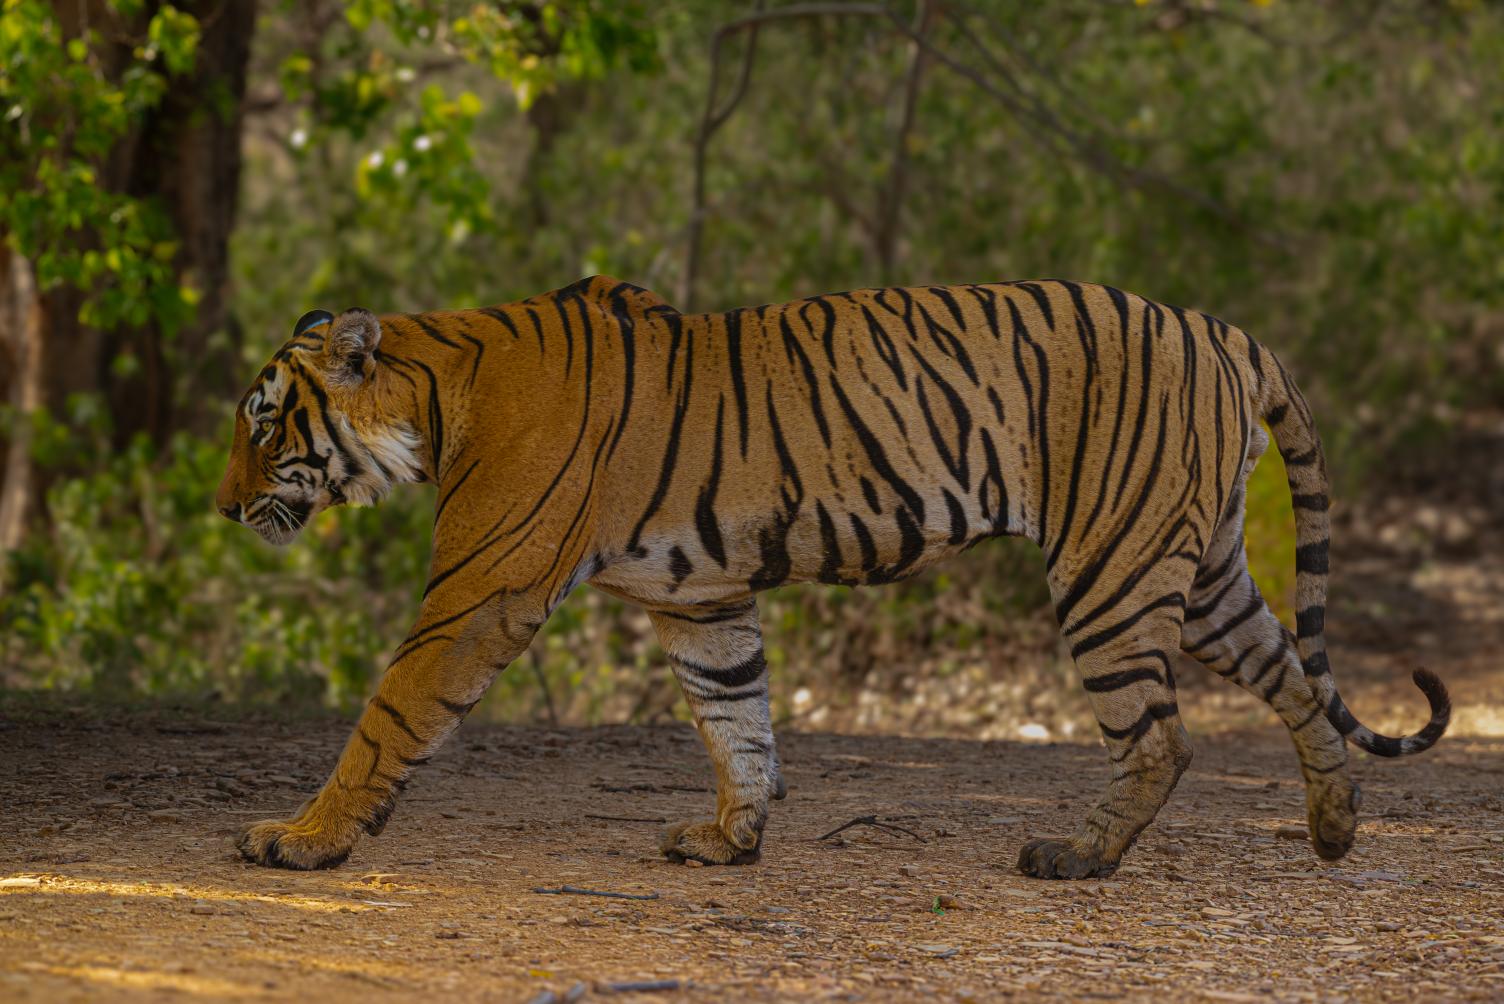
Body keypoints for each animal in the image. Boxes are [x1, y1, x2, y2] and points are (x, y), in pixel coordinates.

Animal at [216, 275, 1449, 878]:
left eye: (265, 425)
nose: (224, 508)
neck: (437, 391)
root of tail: (1220, 328)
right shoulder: (698, 597)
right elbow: (737, 719)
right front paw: (733, 839)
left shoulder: (478, 591)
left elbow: (388, 715)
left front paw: (305, 839)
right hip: (1197, 573)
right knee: (1295, 679)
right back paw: (1334, 830)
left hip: (1111, 568)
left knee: (1160, 738)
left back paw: (1077, 857)